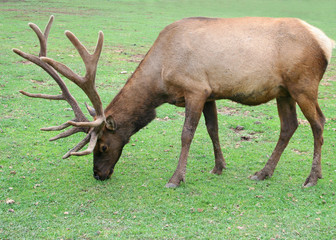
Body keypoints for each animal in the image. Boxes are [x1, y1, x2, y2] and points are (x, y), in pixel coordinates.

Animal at [13, 15, 334, 188]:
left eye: (102, 146)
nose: (98, 175)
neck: (161, 80)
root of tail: (324, 41)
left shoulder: (195, 89)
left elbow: (187, 134)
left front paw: (176, 178)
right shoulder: (209, 92)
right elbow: (213, 130)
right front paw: (219, 167)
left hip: (304, 84)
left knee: (318, 123)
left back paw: (312, 178)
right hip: (284, 91)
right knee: (289, 126)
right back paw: (263, 173)